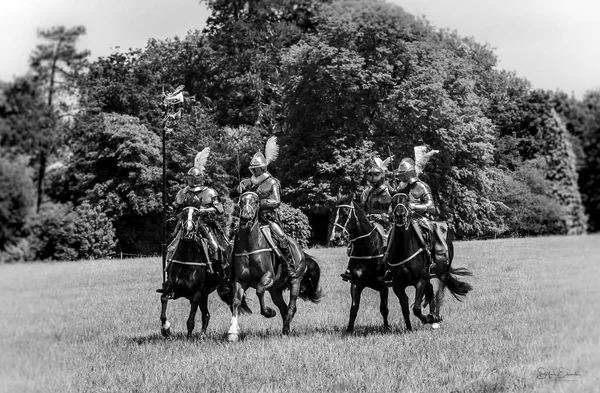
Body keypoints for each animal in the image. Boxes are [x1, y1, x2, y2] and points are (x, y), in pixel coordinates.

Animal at [159, 205, 248, 336]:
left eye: (196, 215)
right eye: (183, 214)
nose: (188, 232)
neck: (186, 260)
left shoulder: (196, 295)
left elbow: (190, 321)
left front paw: (188, 337)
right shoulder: (174, 289)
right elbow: (163, 299)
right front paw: (166, 328)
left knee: (232, 306)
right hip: (204, 295)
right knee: (206, 315)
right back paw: (202, 335)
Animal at [225, 191, 322, 340]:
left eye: (256, 201)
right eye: (241, 201)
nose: (246, 217)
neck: (250, 246)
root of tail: (300, 252)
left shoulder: (268, 277)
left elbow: (259, 290)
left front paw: (269, 312)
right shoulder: (240, 280)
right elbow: (236, 301)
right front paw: (232, 332)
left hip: (295, 281)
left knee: (291, 307)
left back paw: (286, 330)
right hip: (275, 290)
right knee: (283, 308)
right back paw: (285, 329)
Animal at [328, 192, 390, 330]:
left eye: (346, 214)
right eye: (334, 214)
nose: (335, 238)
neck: (367, 248)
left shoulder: (384, 285)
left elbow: (384, 308)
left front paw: (387, 328)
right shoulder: (356, 283)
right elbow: (354, 309)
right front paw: (349, 330)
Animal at [390, 193, 474, 330]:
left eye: (406, 200)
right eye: (392, 202)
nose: (400, 215)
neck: (404, 250)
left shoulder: (420, 281)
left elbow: (417, 308)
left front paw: (430, 318)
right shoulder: (397, 284)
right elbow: (405, 307)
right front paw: (409, 328)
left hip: (443, 273)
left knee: (439, 294)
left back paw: (436, 319)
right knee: (431, 293)